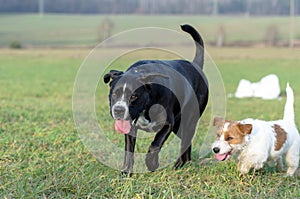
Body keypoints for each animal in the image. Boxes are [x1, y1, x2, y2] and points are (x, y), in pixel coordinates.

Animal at [104, 24, 207, 174]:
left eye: (134, 96)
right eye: (114, 94)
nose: (118, 110)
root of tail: (195, 65)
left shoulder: (167, 123)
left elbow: (155, 144)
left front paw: (151, 163)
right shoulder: (129, 127)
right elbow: (129, 150)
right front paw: (126, 172)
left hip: (189, 119)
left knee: (186, 139)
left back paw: (178, 164)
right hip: (179, 126)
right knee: (187, 141)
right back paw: (185, 163)